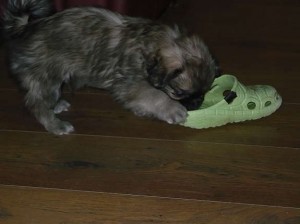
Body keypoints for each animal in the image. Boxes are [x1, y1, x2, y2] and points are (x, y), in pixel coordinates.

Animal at [2, 0, 218, 135]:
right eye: (179, 93)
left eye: (205, 91)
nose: (197, 103)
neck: (151, 43)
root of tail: (26, 27)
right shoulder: (133, 84)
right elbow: (155, 95)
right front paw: (173, 109)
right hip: (47, 78)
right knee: (36, 104)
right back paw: (56, 126)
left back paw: (58, 106)